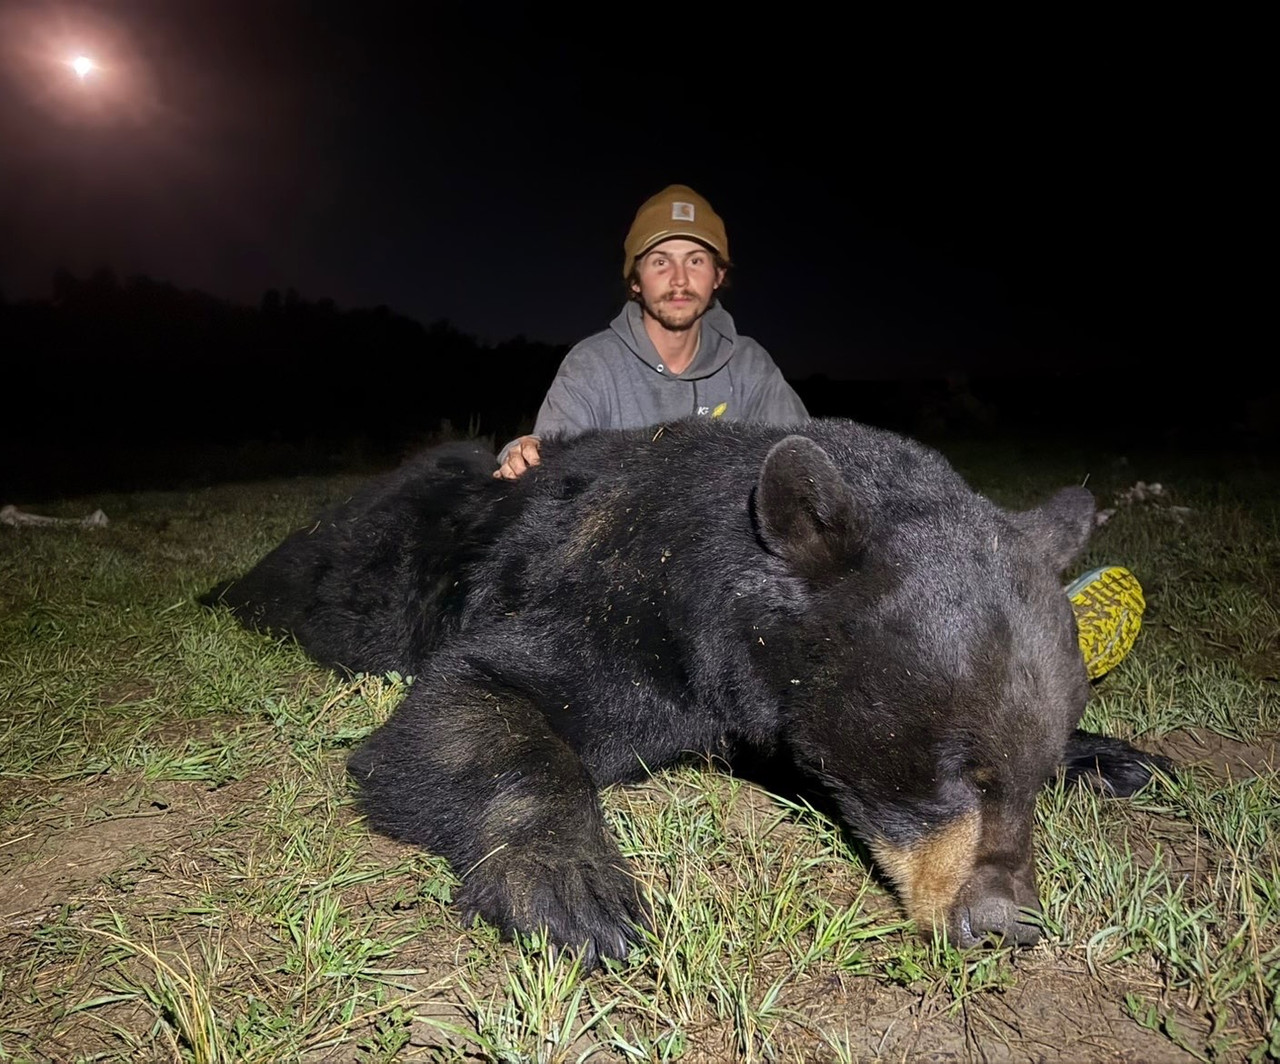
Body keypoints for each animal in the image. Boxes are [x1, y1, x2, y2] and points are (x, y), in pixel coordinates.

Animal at [203, 417, 1171, 967]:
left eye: (1033, 772)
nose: (1003, 922)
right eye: (953, 769)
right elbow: (472, 698)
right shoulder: (620, 610)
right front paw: (576, 892)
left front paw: (1116, 756)